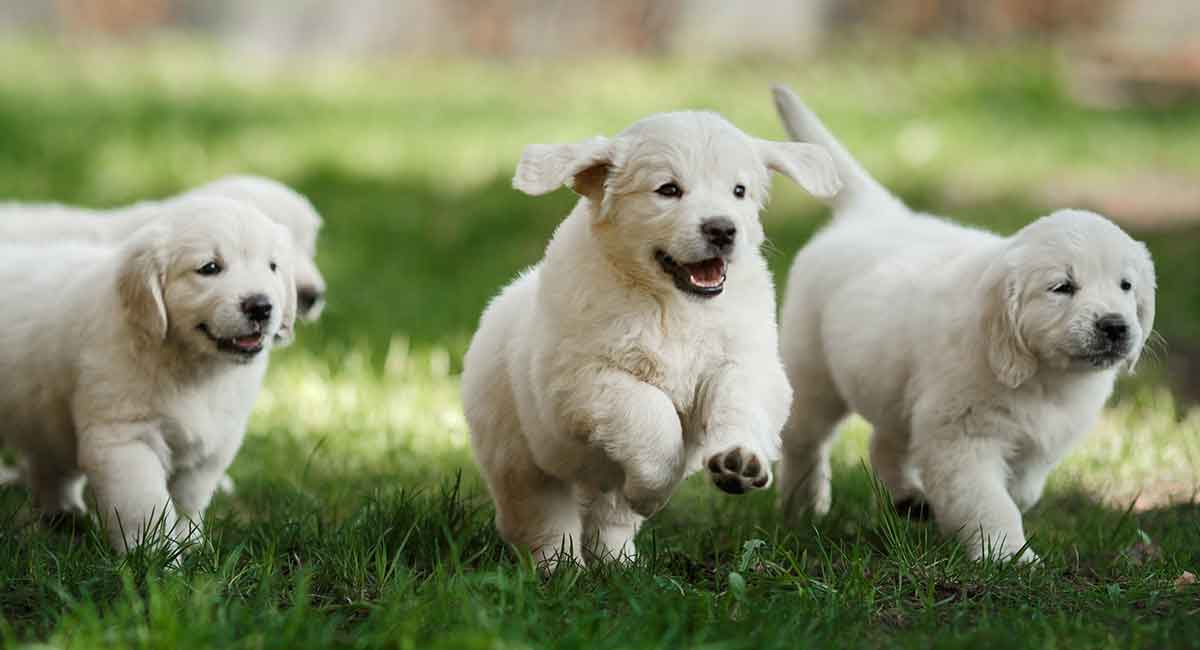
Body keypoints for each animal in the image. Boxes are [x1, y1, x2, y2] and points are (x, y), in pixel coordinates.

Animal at [0, 197, 297, 556]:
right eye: (209, 268)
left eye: (272, 266)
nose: (261, 306)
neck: (191, 366)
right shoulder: (125, 440)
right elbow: (145, 505)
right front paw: (154, 557)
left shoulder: (214, 446)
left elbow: (188, 501)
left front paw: (191, 545)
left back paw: (64, 518)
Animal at [460, 109, 844, 568]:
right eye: (668, 190)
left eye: (739, 190)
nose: (722, 229)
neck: (671, 304)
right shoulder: (580, 380)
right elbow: (650, 414)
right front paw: (654, 490)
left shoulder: (744, 360)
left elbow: (739, 401)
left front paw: (739, 461)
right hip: (520, 457)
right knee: (543, 518)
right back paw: (561, 568)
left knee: (610, 519)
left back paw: (620, 564)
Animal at [768, 85, 1152, 566]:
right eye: (1062, 287)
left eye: (1126, 285)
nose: (1115, 326)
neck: (1042, 376)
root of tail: (873, 214)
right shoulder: (962, 437)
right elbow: (989, 502)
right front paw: (1009, 557)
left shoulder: (1039, 438)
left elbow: (1023, 487)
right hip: (813, 372)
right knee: (803, 440)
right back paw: (801, 506)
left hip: (894, 384)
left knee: (884, 442)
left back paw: (908, 499)